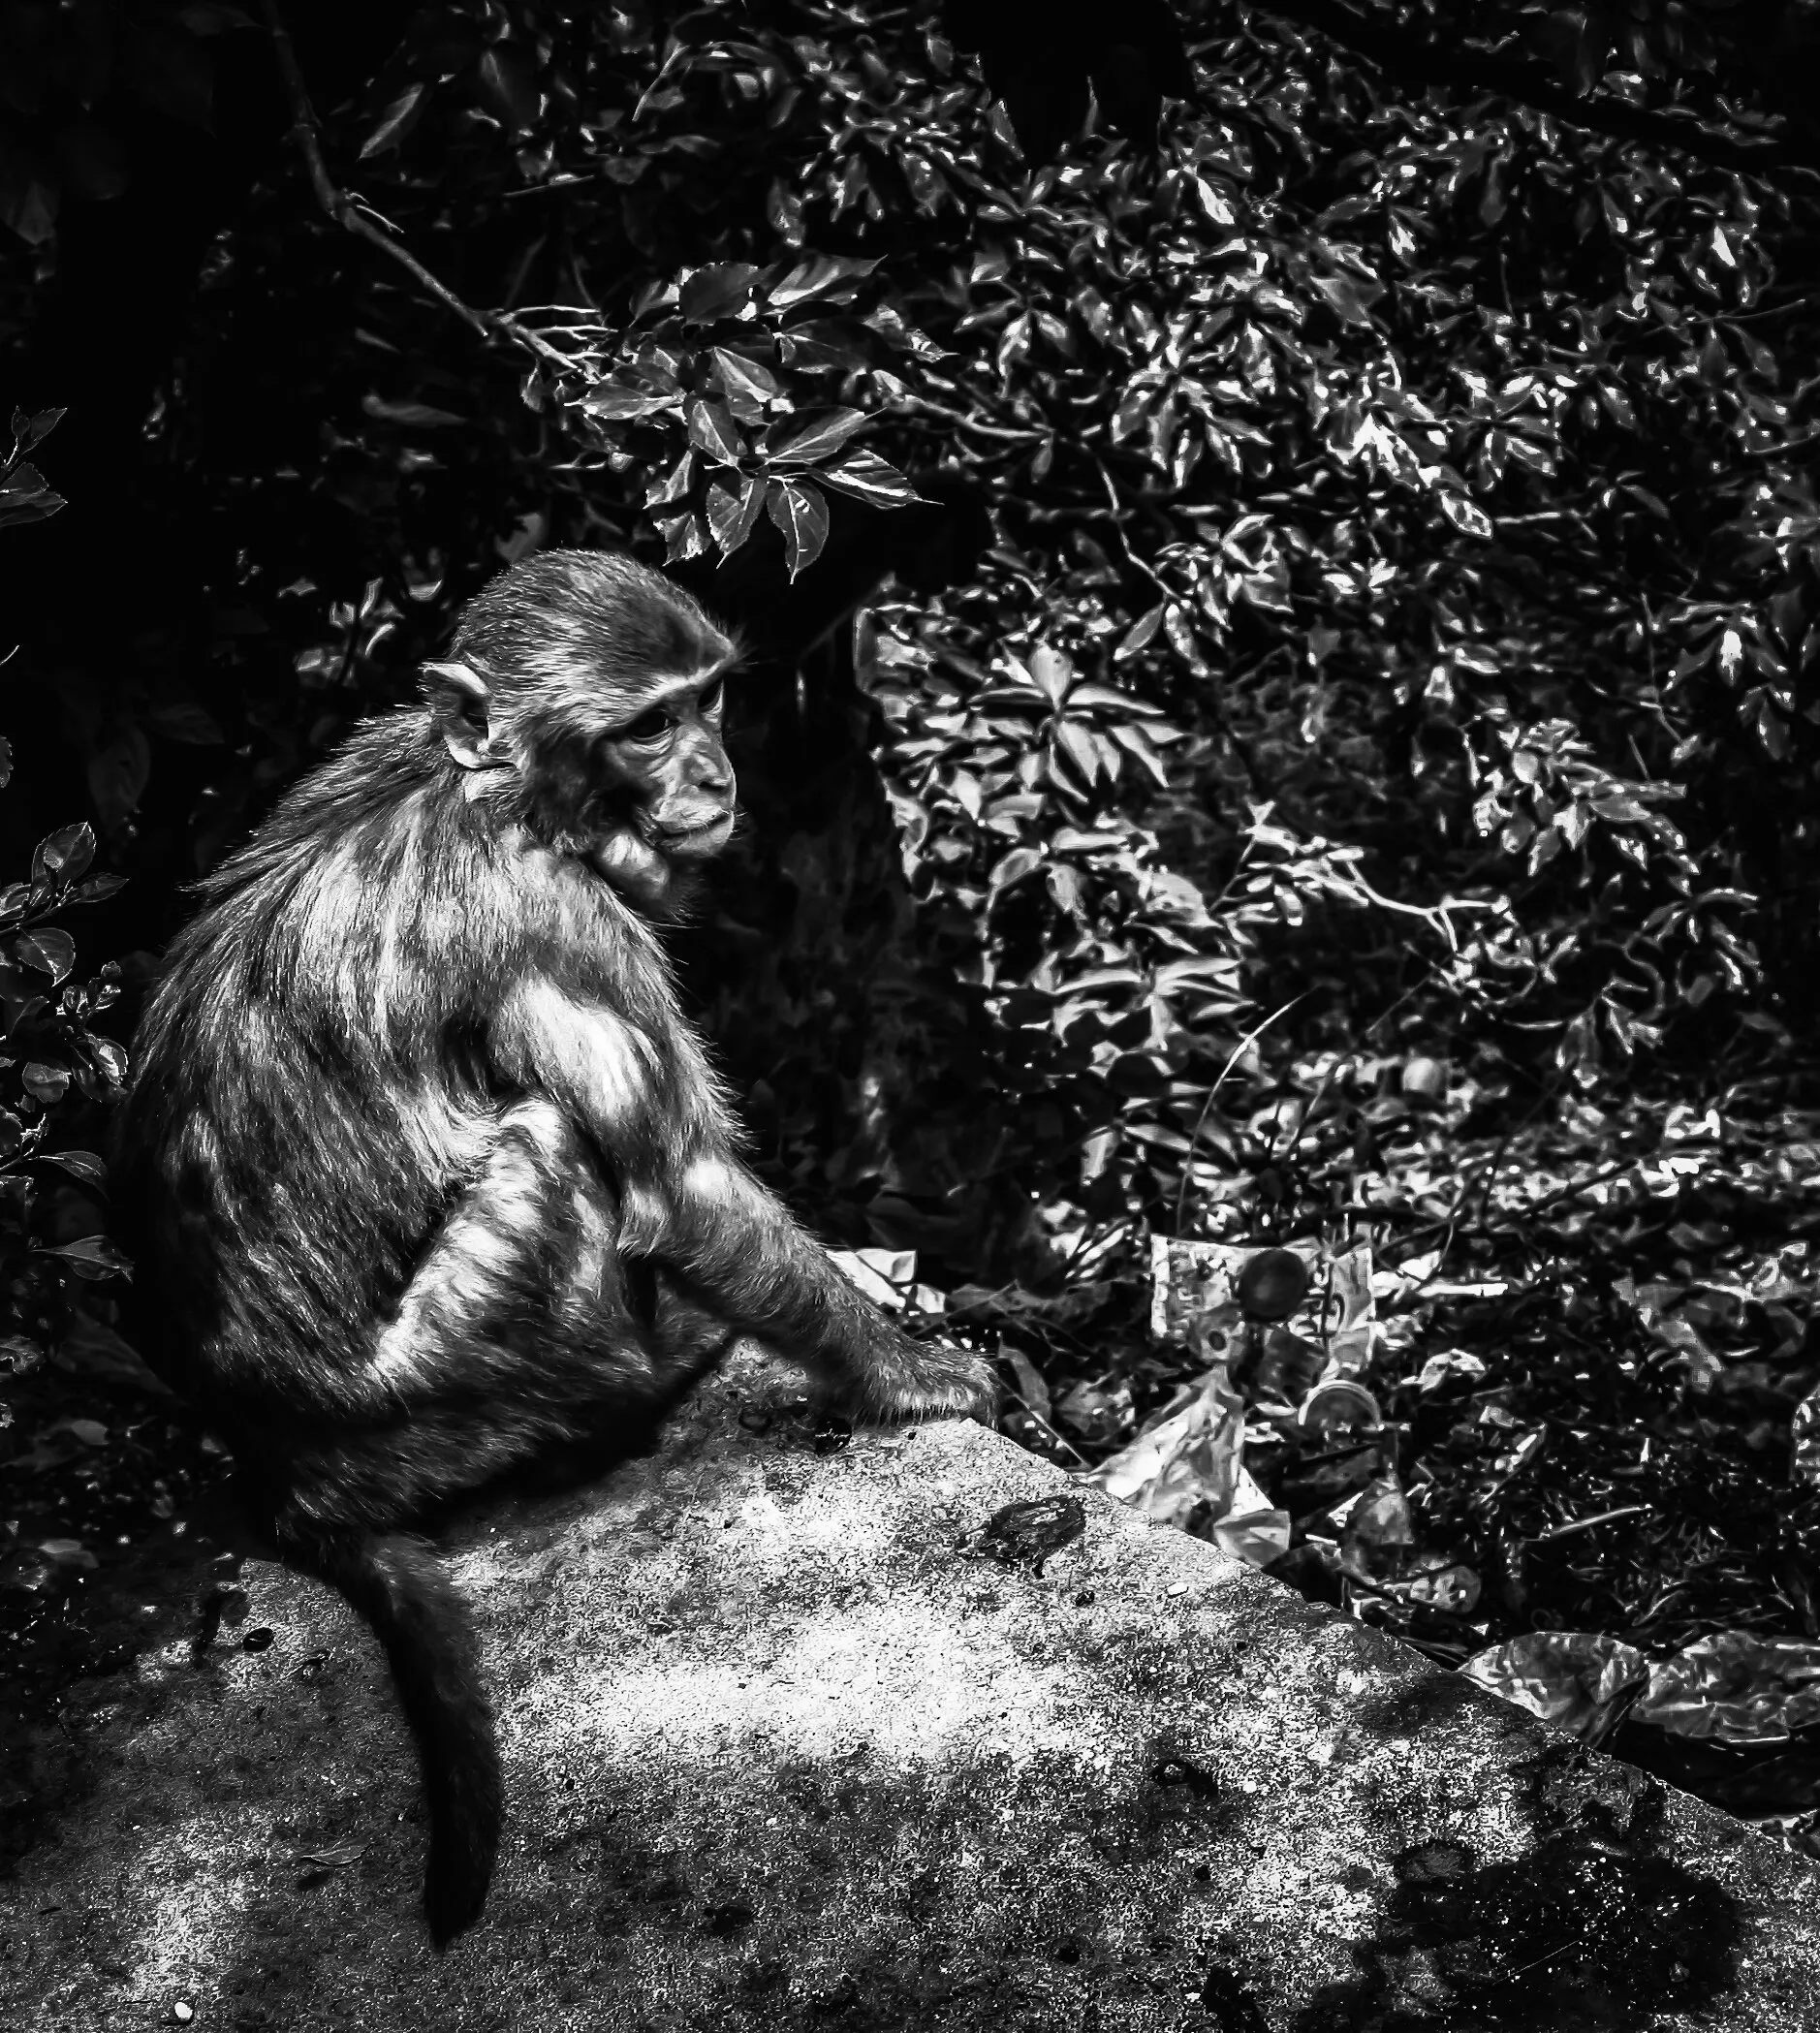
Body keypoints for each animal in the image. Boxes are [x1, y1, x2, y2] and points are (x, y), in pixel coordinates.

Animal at [113, 549, 996, 1945]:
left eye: (707, 700)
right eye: (645, 725)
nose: (715, 776)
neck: (493, 790)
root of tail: (289, 1476)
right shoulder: (554, 919)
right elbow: (681, 1185)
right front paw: (912, 1374)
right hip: (455, 1382)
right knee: (547, 1137)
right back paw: (647, 1378)